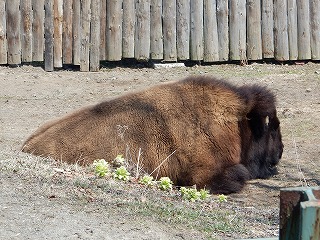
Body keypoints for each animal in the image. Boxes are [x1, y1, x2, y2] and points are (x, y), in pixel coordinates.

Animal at [21, 76, 282, 194]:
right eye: (271, 127)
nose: (279, 153)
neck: (235, 123)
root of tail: (27, 147)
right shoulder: (205, 175)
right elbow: (239, 176)